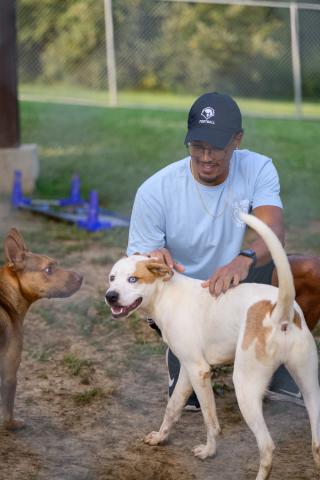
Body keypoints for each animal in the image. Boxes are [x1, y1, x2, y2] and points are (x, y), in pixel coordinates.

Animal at [105, 214, 320, 480]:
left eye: (133, 279)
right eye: (112, 278)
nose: (110, 296)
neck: (165, 293)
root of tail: (280, 311)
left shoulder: (199, 371)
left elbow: (210, 421)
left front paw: (209, 452)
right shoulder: (188, 370)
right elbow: (173, 407)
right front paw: (160, 437)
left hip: (245, 388)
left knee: (267, 447)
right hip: (309, 385)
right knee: (316, 443)